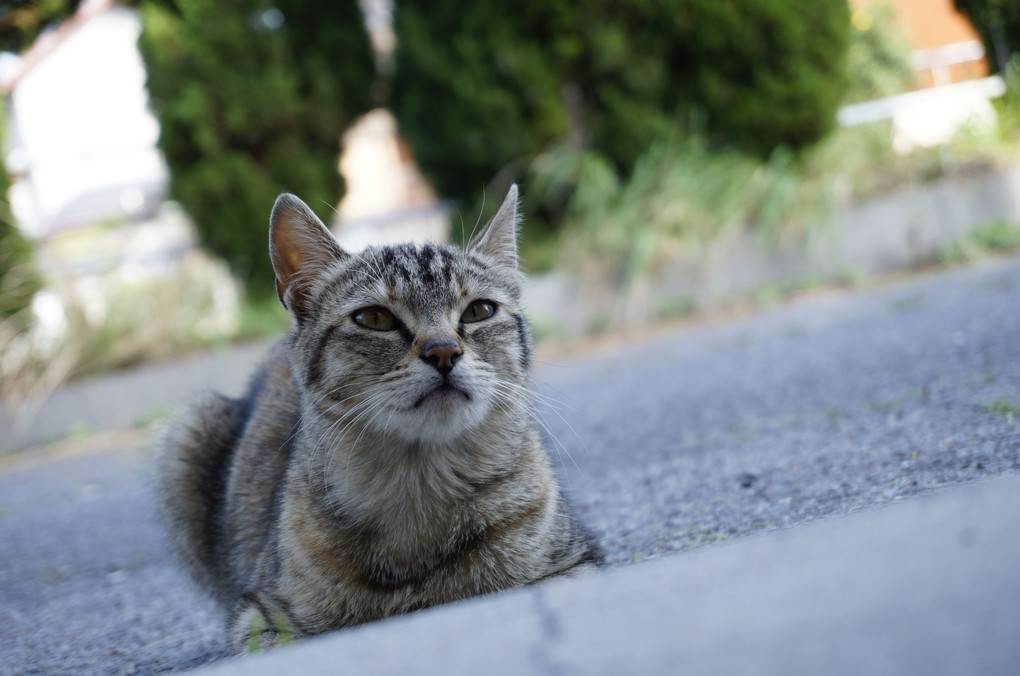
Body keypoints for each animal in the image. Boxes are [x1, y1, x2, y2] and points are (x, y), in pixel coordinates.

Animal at [158, 186, 599, 652]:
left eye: (479, 311)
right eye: (374, 318)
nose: (444, 351)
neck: (419, 483)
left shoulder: (571, 566)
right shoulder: (264, 620)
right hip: (188, 430)